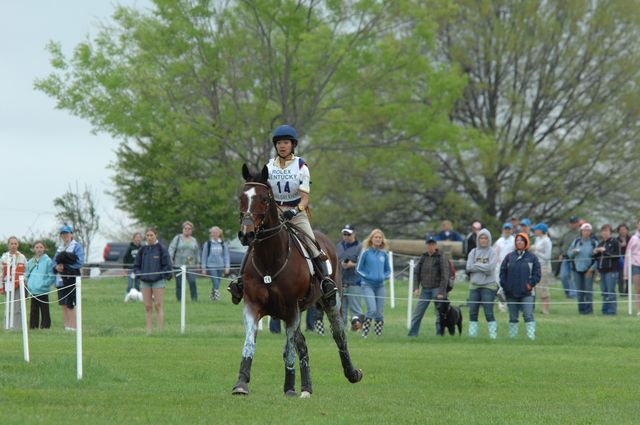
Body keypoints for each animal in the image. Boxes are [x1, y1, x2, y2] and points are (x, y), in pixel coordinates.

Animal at [231, 164, 362, 396]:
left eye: (264, 198)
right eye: (241, 197)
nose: (246, 234)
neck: (270, 259)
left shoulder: (291, 309)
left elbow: (288, 349)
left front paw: (289, 387)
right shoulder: (253, 305)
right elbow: (250, 343)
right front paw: (241, 383)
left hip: (330, 303)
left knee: (339, 336)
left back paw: (351, 373)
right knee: (303, 344)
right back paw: (306, 388)